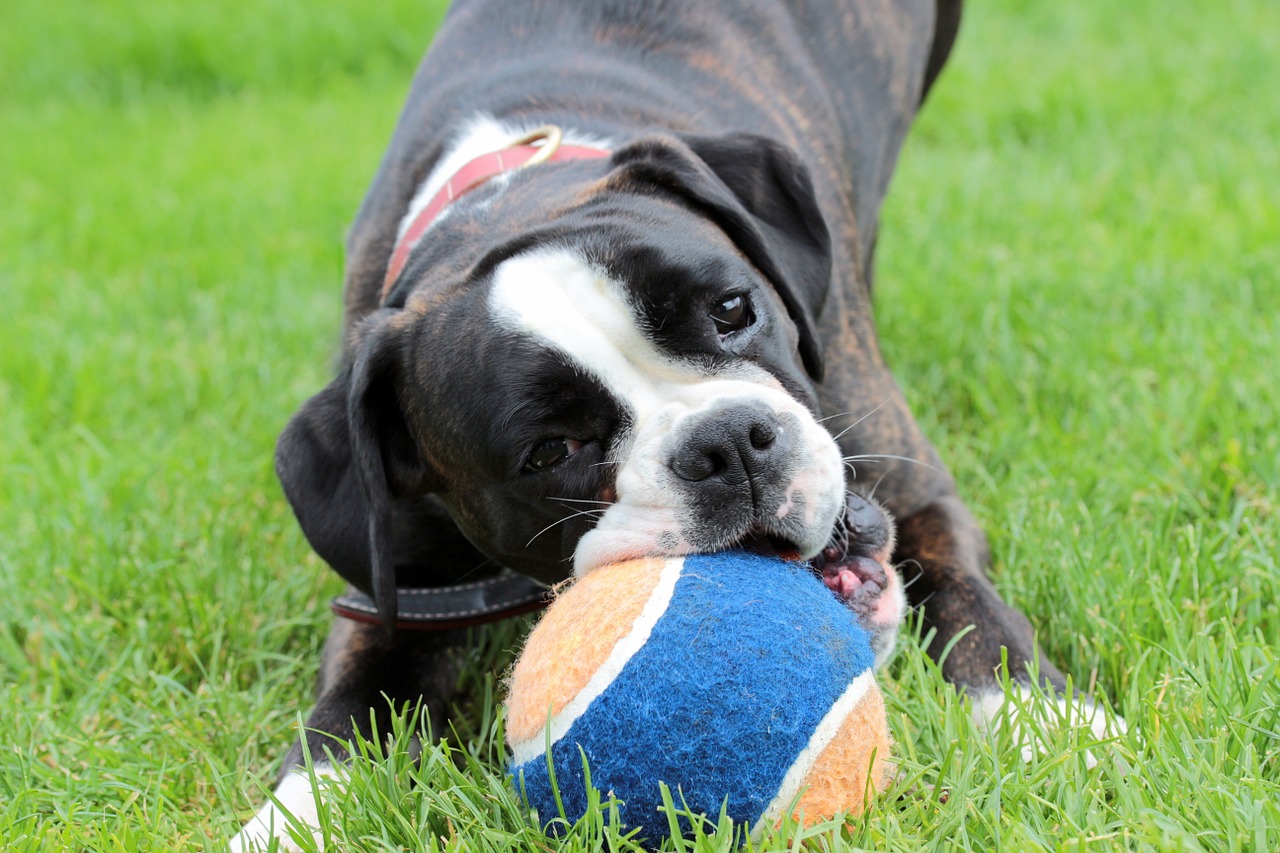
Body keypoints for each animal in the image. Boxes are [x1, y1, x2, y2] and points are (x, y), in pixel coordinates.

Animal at [232, 0, 1121, 845]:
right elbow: (349, 717)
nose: (726, 443)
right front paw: (290, 820)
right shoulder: (397, 594)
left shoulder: (919, 495)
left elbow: (973, 608)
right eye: (549, 450)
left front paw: (1051, 725)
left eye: (732, 310)